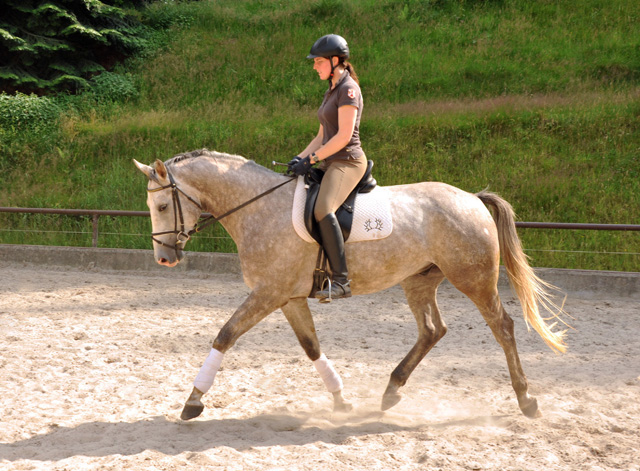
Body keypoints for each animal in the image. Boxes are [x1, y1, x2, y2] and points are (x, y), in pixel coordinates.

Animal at [134, 149, 564, 422]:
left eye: (161, 206)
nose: (164, 258)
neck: (258, 207)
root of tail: (472, 199)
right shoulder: (288, 297)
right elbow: (311, 346)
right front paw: (341, 401)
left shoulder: (268, 294)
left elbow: (225, 335)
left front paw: (193, 401)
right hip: (419, 280)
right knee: (432, 329)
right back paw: (391, 391)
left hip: (473, 279)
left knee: (502, 327)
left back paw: (527, 400)